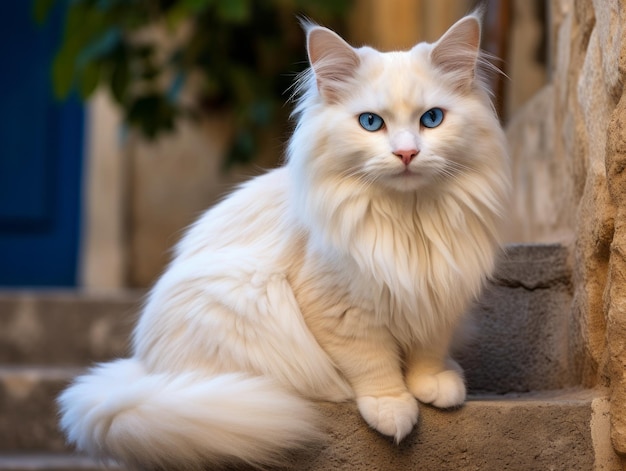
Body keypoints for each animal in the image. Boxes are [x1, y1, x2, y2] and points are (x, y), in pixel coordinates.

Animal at [57, 12, 508, 471]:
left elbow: (427, 352)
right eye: (371, 122)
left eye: (431, 119)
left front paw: (433, 385)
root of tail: (143, 371)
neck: (409, 219)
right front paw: (393, 407)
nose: (406, 154)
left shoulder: (440, 297)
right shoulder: (340, 309)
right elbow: (373, 362)